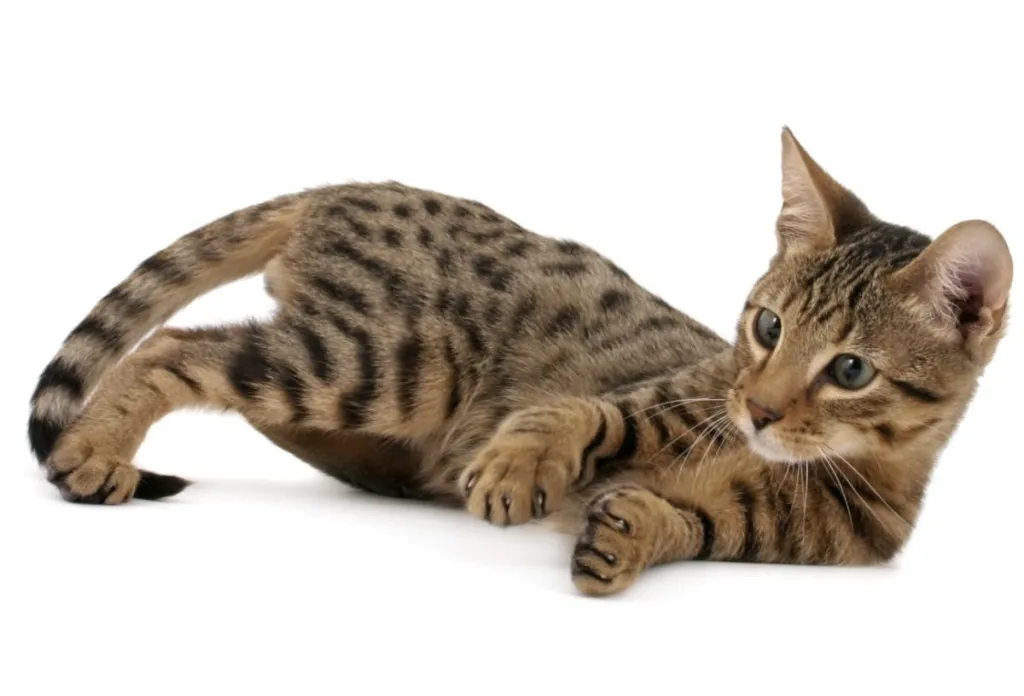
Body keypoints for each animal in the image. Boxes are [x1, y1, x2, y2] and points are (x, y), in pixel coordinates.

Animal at [28, 130, 1011, 597]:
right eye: (766, 326)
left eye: (849, 372)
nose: (760, 409)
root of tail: (343, 187)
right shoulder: (673, 395)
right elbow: (577, 413)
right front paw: (520, 464)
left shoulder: (760, 535)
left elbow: (681, 521)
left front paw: (627, 532)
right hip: (390, 364)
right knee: (173, 349)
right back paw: (98, 450)